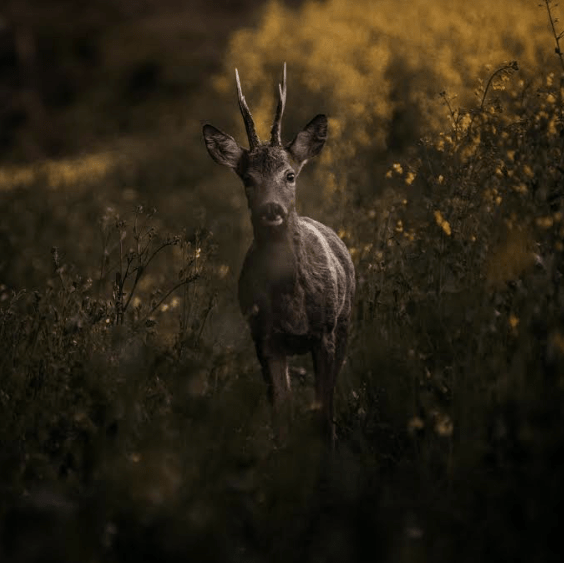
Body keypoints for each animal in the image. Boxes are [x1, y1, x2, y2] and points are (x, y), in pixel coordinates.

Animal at [202, 64, 352, 448]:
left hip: (346, 322)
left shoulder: (324, 331)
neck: (291, 303)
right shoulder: (263, 337)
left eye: (290, 175)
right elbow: (280, 418)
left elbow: (323, 414)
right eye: (247, 178)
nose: (271, 209)